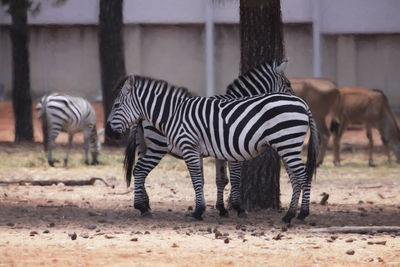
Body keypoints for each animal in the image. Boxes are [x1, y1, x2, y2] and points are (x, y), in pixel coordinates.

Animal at [107, 74, 318, 223]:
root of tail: (303, 104)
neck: (173, 113)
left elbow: (201, 181)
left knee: (303, 175)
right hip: (286, 145)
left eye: (116, 105)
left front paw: (200, 211)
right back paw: (289, 215)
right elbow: (209, 180)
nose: (108, 130)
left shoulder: (193, 147)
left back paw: (302, 214)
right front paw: (213, 209)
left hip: (287, 144)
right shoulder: (204, 150)